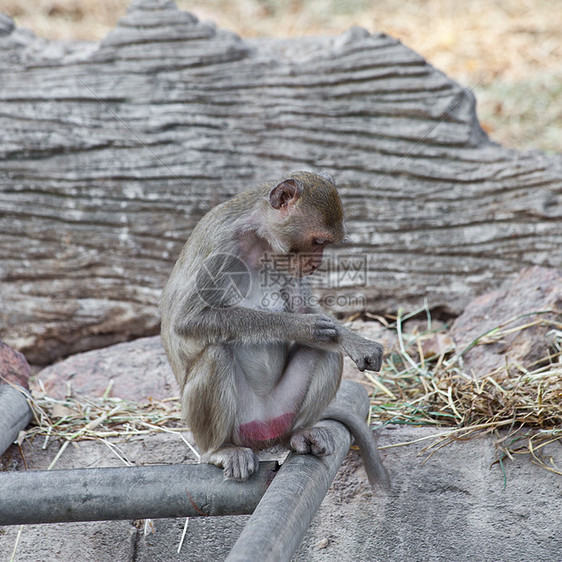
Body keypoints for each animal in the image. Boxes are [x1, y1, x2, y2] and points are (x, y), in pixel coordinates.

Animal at [160, 170, 388, 486]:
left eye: (326, 244)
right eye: (317, 241)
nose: (316, 265)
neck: (260, 239)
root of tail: (265, 433)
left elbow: (312, 316)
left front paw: (354, 341)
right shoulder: (221, 247)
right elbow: (189, 319)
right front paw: (300, 327)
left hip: (282, 411)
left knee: (325, 353)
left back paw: (300, 433)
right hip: (239, 425)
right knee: (216, 354)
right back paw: (221, 450)